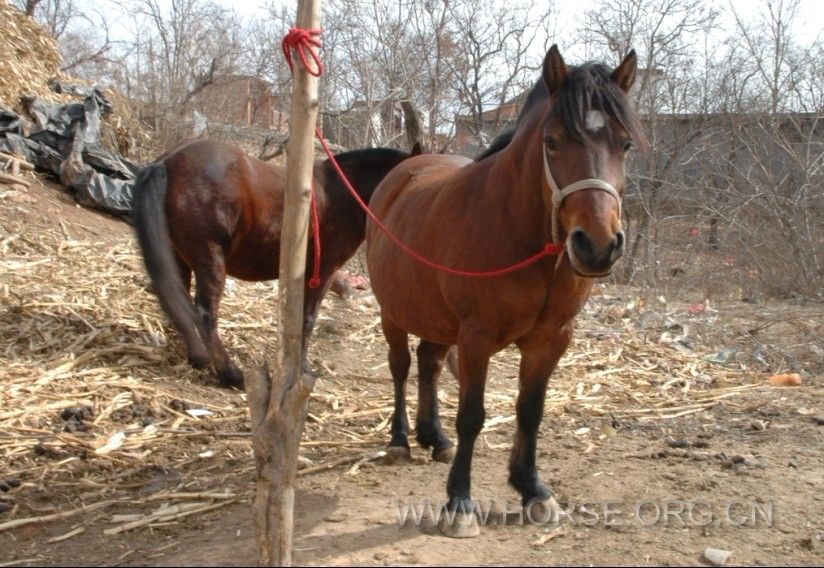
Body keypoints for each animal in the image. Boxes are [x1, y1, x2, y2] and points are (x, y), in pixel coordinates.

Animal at [135, 138, 418, 388]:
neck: (342, 194)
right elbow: (308, 318)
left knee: (179, 300)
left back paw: (198, 355)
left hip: (180, 258)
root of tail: (167, 163)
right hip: (210, 260)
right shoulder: (324, 272)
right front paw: (302, 368)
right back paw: (229, 373)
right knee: (204, 313)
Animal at [366, 45, 644, 536]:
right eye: (552, 142)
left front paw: (532, 489)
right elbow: (472, 416)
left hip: (437, 319)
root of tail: (403, 170)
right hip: (393, 313)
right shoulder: (476, 338)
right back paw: (400, 440)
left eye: (625, 144)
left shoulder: (551, 339)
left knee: (428, 363)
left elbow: (530, 411)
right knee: (400, 366)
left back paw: (433, 437)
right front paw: (459, 502)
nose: (597, 246)